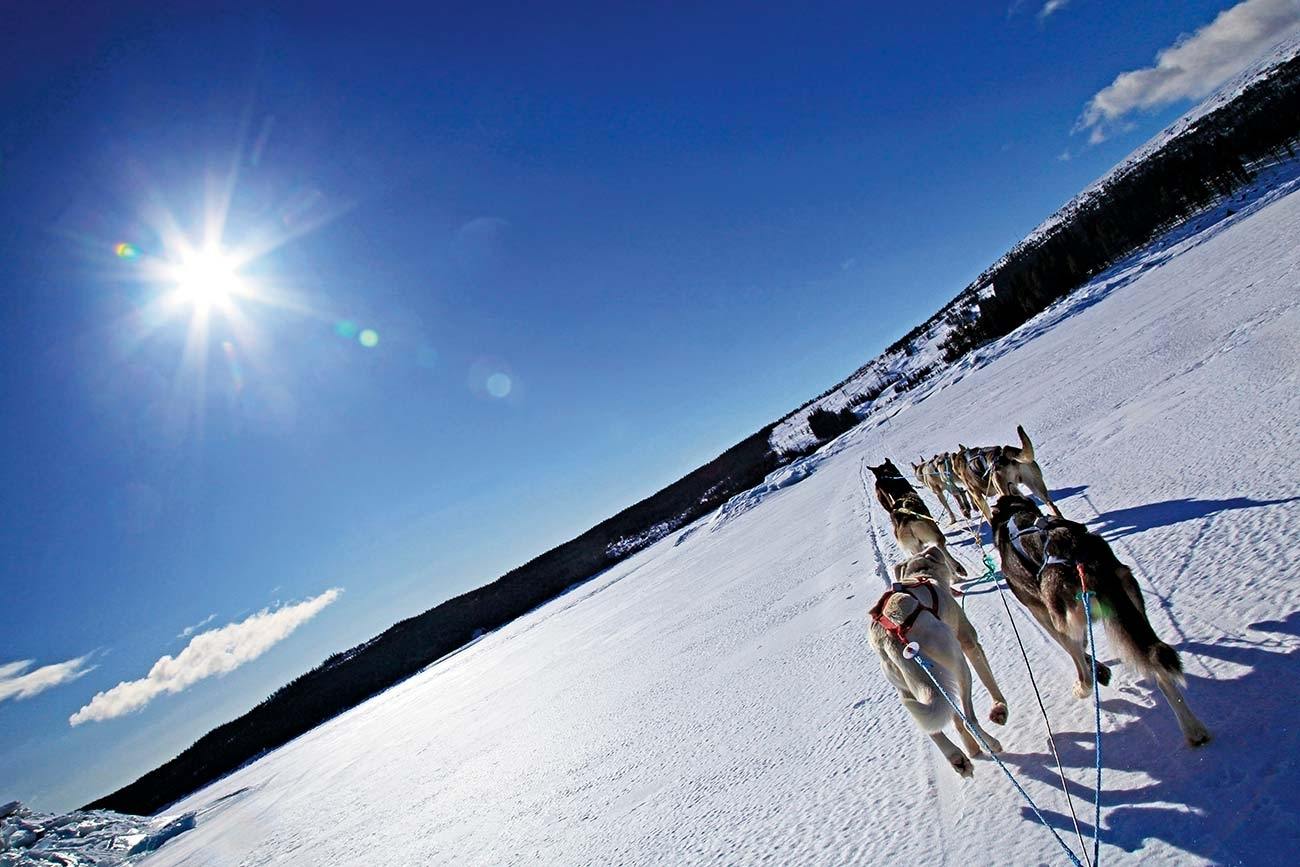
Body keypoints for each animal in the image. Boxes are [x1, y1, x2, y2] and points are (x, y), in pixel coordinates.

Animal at [868, 545, 1008, 774]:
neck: (921, 575)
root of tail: (890, 635)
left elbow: (954, 718)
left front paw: (972, 749)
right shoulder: (970, 643)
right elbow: (988, 681)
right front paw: (1000, 708)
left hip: (911, 685)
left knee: (934, 725)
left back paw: (957, 757)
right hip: (957, 663)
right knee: (968, 718)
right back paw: (991, 744)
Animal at [993, 493, 1206, 748]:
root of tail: (1080, 555)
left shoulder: (1041, 614)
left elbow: (1077, 650)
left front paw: (1097, 672)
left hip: (1061, 617)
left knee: (1080, 660)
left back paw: (1083, 686)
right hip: (1131, 605)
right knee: (1158, 665)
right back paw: (1194, 729)